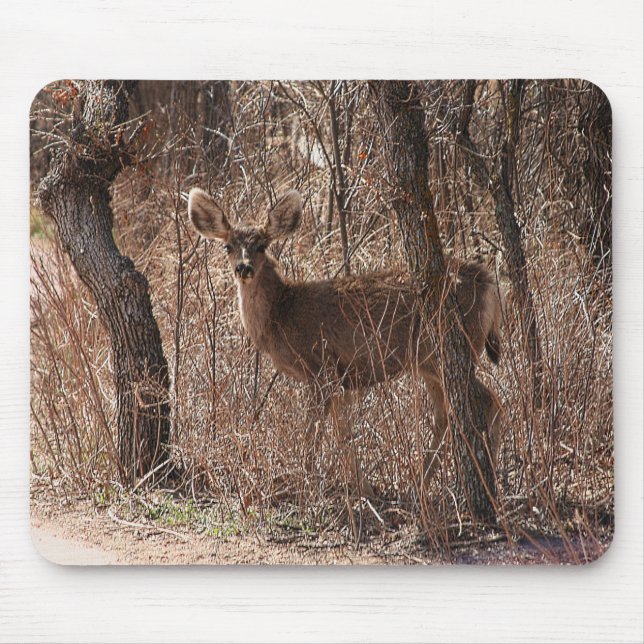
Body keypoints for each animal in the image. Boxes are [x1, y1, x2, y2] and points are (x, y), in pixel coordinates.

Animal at [188, 187, 503, 499]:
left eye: (262, 246)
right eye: (228, 246)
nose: (244, 268)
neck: (282, 314)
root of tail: (488, 281)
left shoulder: (321, 367)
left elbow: (313, 431)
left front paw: (304, 480)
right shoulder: (340, 379)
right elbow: (344, 434)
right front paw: (363, 488)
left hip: (446, 347)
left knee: (490, 401)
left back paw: (488, 481)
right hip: (428, 361)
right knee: (446, 415)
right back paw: (421, 485)